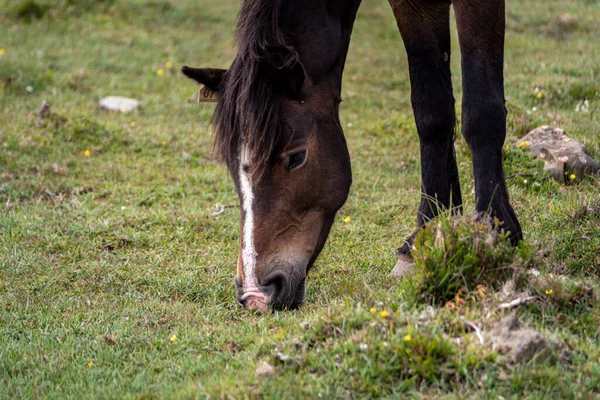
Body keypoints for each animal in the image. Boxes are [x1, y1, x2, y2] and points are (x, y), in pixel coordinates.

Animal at [182, 0, 520, 312]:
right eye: (230, 164)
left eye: (297, 157)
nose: (256, 294)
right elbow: (432, 111)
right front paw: (427, 236)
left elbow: (482, 111)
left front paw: (495, 233)